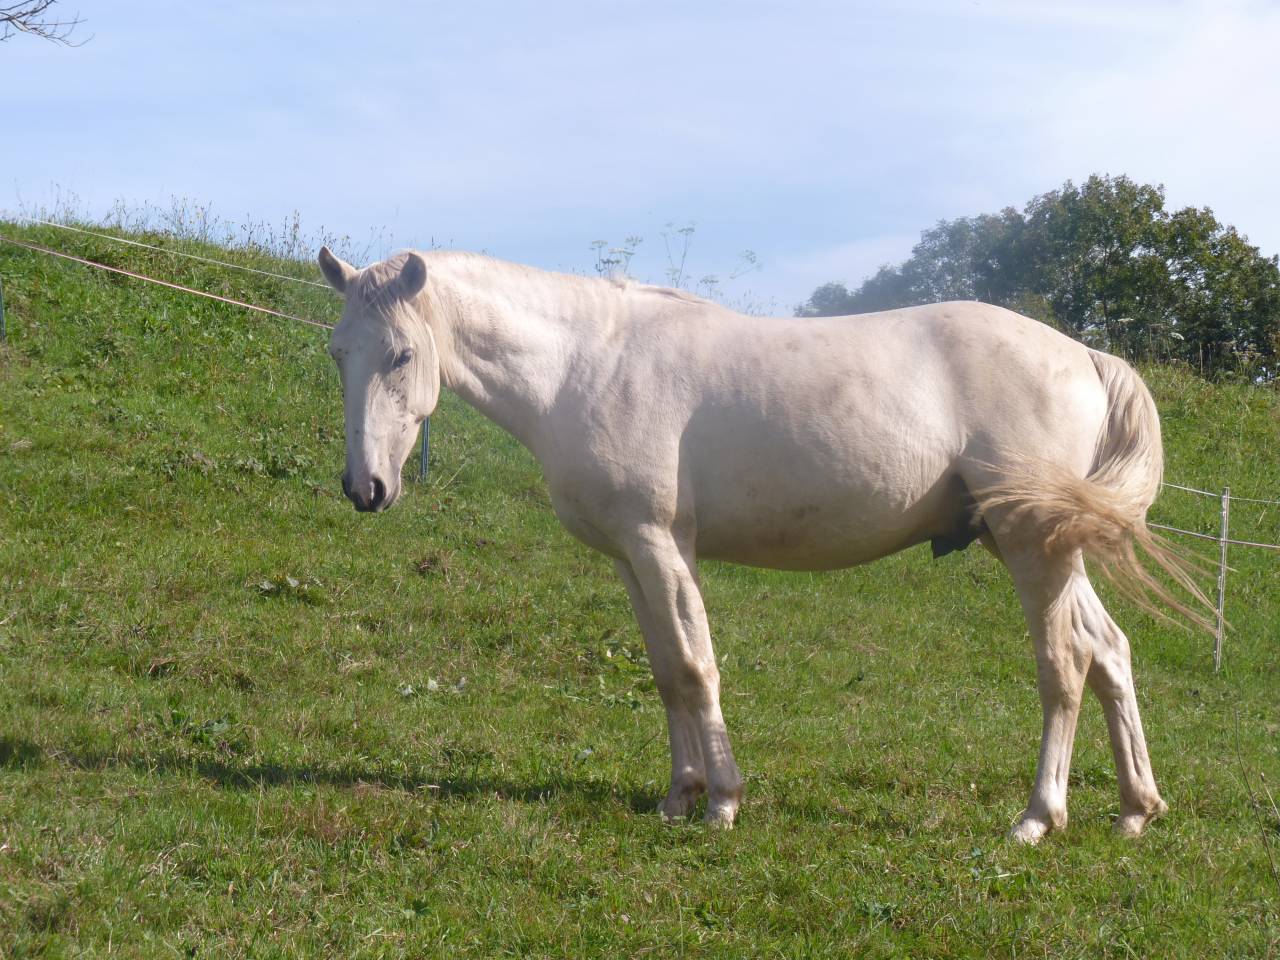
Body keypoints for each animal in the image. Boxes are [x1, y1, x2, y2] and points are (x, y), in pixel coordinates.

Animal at [317, 245, 1203, 843]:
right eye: (338, 353)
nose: (366, 489)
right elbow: (664, 673)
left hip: (1033, 551)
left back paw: (1037, 818)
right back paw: (1134, 811)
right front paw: (677, 796)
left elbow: (694, 665)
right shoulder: (632, 558)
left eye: (401, 353)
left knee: (1064, 666)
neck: (586, 365)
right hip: (1042, 549)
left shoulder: (662, 546)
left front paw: (721, 802)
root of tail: (1086, 356)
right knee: (1109, 651)